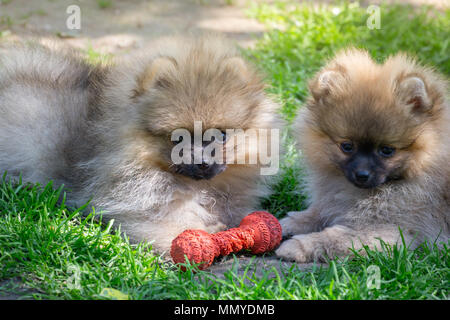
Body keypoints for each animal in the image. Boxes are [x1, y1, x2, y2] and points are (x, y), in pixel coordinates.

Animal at [0, 37, 282, 252]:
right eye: (178, 138)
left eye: (221, 135)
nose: (202, 162)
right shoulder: (129, 204)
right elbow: (167, 223)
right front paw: (202, 232)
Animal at [278, 48, 450, 262]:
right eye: (347, 146)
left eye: (386, 150)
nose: (362, 175)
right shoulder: (334, 203)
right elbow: (313, 213)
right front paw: (282, 225)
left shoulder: (389, 230)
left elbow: (335, 236)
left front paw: (297, 246)